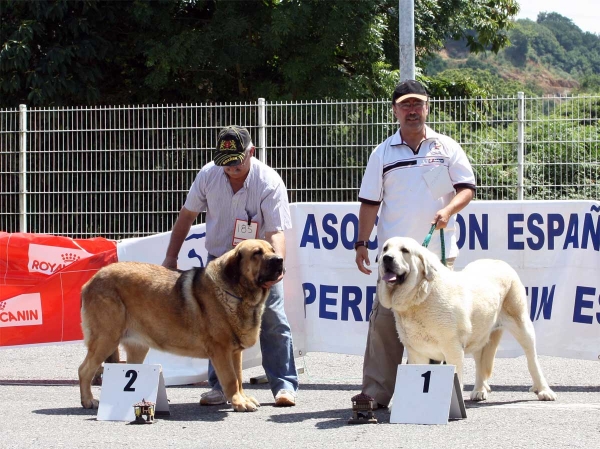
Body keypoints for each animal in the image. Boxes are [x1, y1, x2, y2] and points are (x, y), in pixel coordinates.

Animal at [378, 236, 556, 400]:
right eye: (385, 249)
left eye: (404, 250)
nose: (387, 258)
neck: (421, 295)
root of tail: (498, 261)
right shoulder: (417, 352)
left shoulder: (452, 348)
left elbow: (455, 379)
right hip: (479, 334)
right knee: (480, 362)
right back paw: (479, 390)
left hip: (522, 325)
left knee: (532, 359)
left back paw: (544, 390)